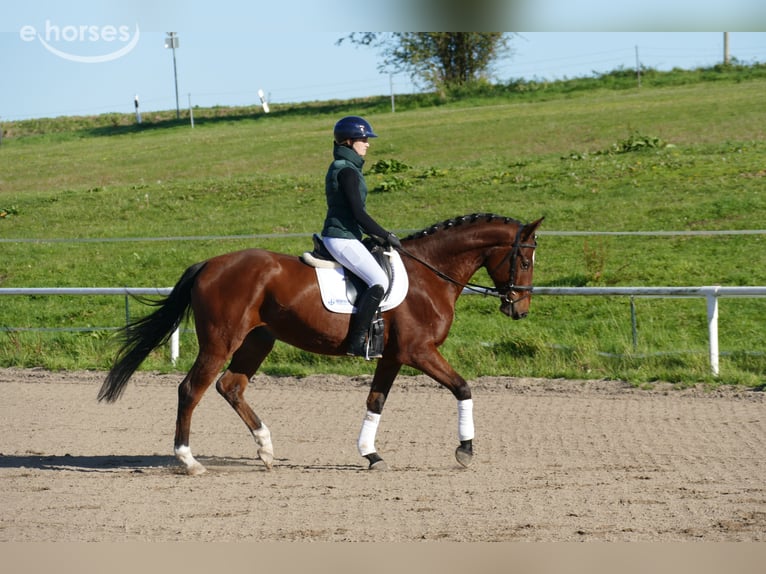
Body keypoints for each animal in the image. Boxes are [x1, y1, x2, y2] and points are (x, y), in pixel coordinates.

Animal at [99, 213, 543, 474]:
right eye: (524, 260)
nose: (519, 309)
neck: (429, 275)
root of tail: (209, 263)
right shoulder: (419, 352)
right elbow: (463, 388)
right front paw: (465, 450)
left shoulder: (394, 356)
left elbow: (375, 401)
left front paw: (370, 454)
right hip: (221, 341)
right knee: (192, 389)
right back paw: (189, 460)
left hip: (257, 340)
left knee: (231, 386)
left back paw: (265, 450)